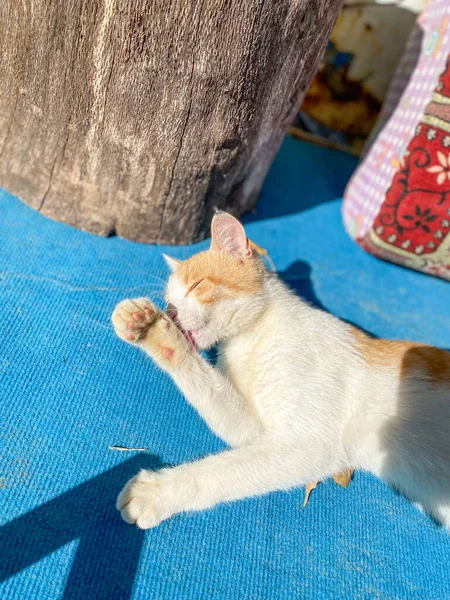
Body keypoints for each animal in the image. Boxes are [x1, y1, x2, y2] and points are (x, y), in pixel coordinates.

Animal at [111, 211, 450, 528]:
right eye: (169, 302)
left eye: (196, 285)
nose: (170, 313)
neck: (250, 338)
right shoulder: (255, 429)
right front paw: (150, 329)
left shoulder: (307, 442)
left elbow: (220, 471)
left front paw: (155, 492)